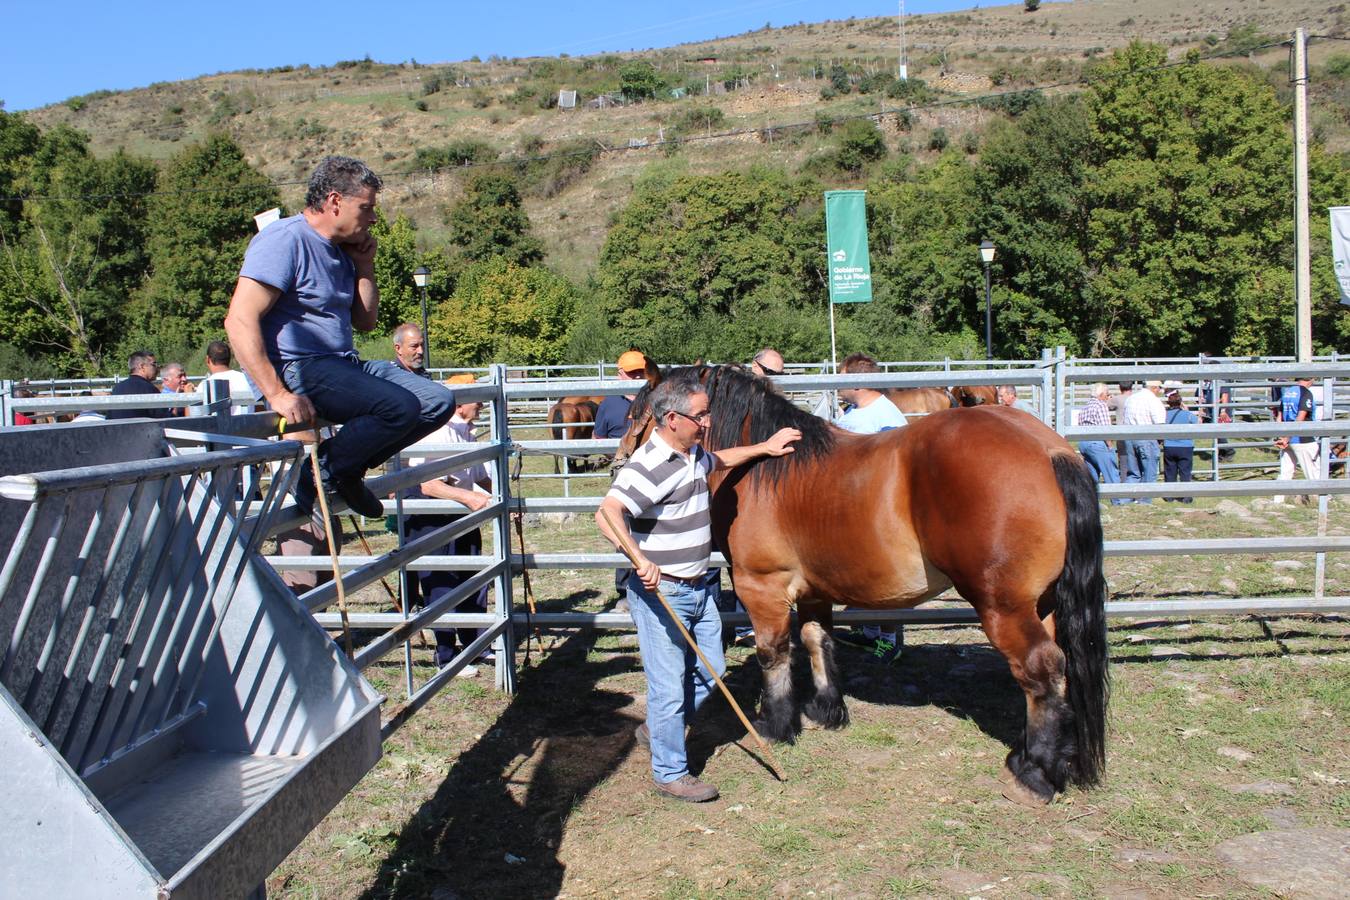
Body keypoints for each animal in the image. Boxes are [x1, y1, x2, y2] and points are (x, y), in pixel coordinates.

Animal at [618, 361, 1107, 804]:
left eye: (636, 413)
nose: (620, 458)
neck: (763, 470)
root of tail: (1050, 450)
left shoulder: (761, 587)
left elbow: (773, 653)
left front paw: (775, 725)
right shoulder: (814, 592)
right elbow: (816, 641)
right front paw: (825, 711)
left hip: (1002, 606)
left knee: (1041, 670)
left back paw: (1034, 773)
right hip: (1041, 605)